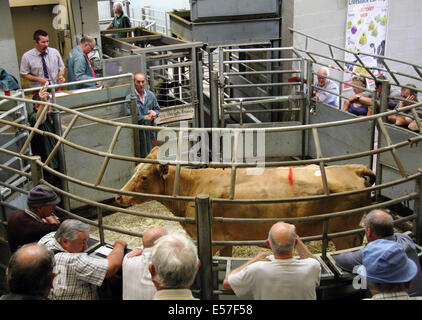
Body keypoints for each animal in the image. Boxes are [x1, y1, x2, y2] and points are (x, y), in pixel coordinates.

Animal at [116, 147, 376, 255]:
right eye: (134, 170)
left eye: (144, 176)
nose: (118, 195)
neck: (194, 186)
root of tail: (352, 168)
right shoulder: (225, 240)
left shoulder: (212, 239)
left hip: (342, 232)